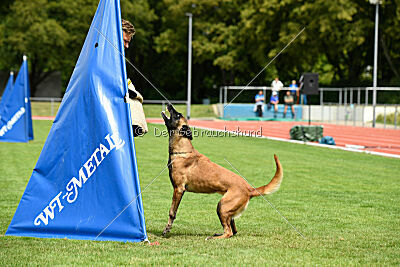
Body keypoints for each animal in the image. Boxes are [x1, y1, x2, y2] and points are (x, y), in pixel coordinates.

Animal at [161, 104, 282, 241]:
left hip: (222, 206)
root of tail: (249, 188)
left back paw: (213, 238)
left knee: (229, 232)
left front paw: (167, 229)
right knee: (233, 230)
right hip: (227, 209)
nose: (169, 105)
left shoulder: (178, 189)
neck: (182, 150)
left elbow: (172, 212)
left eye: (177, 115)